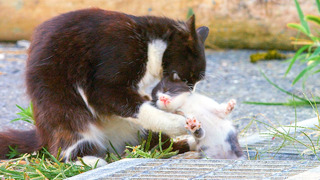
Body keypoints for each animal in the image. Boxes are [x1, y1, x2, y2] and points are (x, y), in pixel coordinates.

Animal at [0, 8, 210, 166]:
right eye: (189, 78)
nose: (189, 93)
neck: (150, 44)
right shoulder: (109, 67)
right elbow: (128, 104)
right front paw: (179, 122)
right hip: (60, 107)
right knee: (66, 145)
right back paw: (88, 160)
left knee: (157, 145)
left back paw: (191, 144)